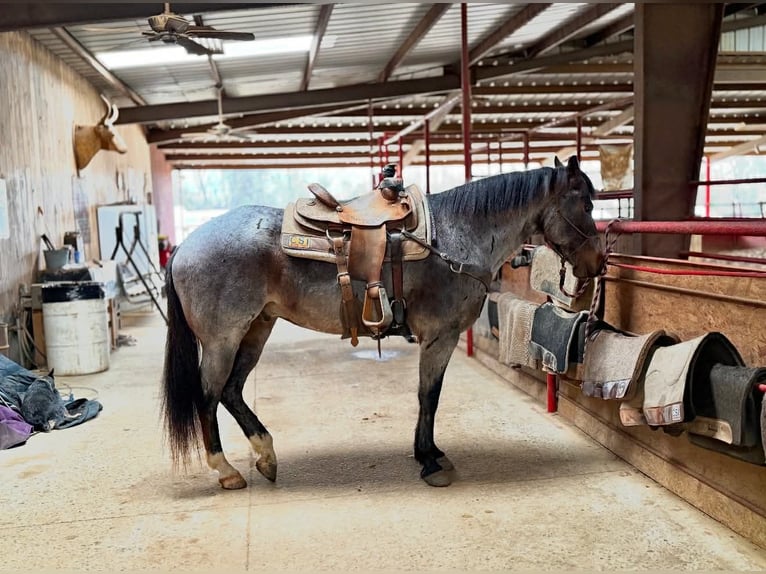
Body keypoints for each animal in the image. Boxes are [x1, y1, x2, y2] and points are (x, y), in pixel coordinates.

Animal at [161, 155, 605, 489]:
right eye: (586, 205)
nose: (598, 264)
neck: (458, 235)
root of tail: (186, 245)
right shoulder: (439, 337)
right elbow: (429, 395)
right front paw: (430, 462)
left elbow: (429, 396)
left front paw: (429, 453)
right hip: (222, 340)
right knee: (209, 395)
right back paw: (226, 470)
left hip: (257, 329)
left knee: (232, 391)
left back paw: (266, 456)